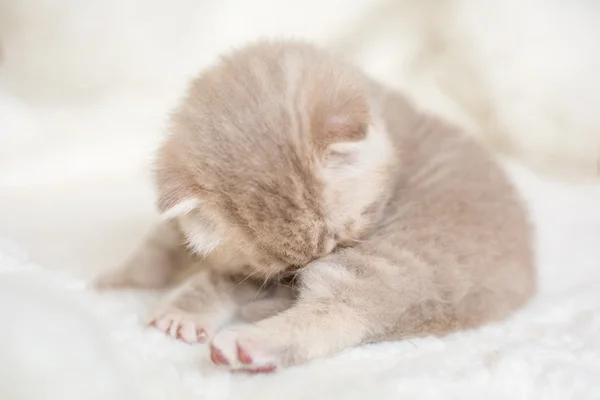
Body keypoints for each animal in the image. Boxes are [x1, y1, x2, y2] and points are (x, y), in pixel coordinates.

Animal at [96, 40, 536, 372]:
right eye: (285, 267)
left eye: (339, 238)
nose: (297, 276)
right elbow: (161, 244)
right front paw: (118, 279)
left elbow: (214, 278)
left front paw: (183, 312)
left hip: (390, 261)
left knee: (340, 315)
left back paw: (247, 346)